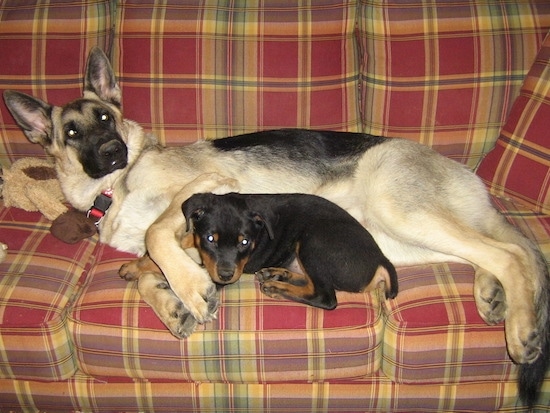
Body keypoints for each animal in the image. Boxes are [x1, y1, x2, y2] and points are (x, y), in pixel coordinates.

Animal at [183, 192, 398, 308]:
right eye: (210, 239)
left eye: (244, 242)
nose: (226, 276)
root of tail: (381, 259)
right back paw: (277, 275)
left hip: (314, 241)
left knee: (325, 296)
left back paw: (276, 287)